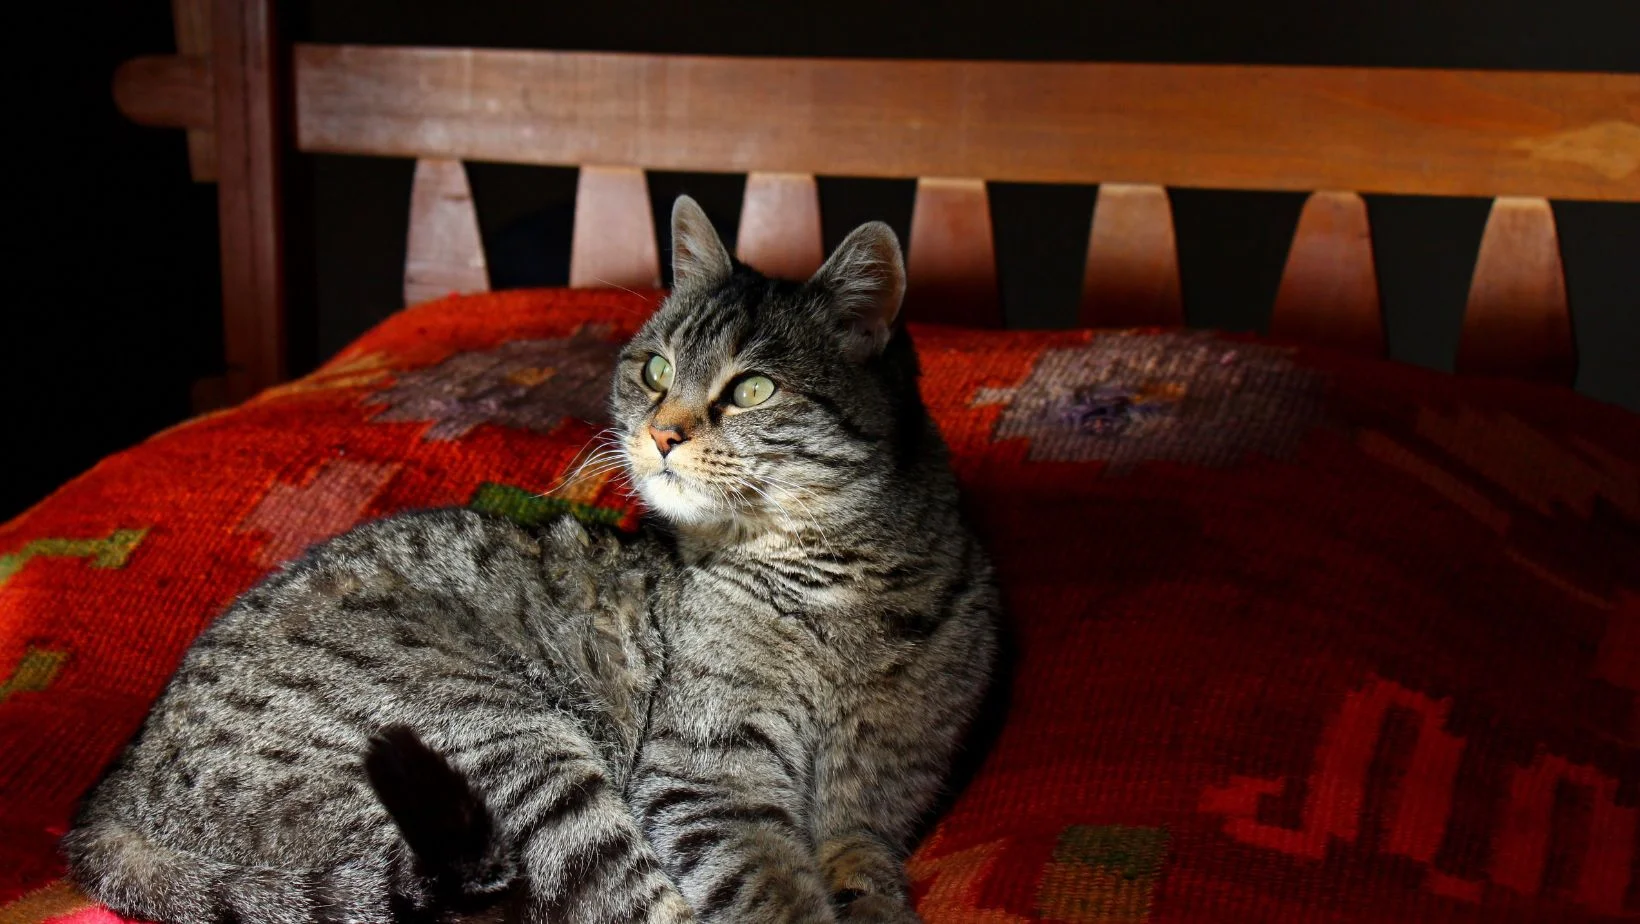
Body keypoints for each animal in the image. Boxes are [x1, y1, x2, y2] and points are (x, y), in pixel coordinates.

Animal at [67, 198, 997, 924]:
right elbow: (769, 893)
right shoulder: (707, 777)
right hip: (505, 748)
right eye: (655, 370)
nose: (661, 433)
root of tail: (113, 801)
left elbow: (868, 886)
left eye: (754, 388)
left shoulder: (872, 813)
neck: (840, 586)